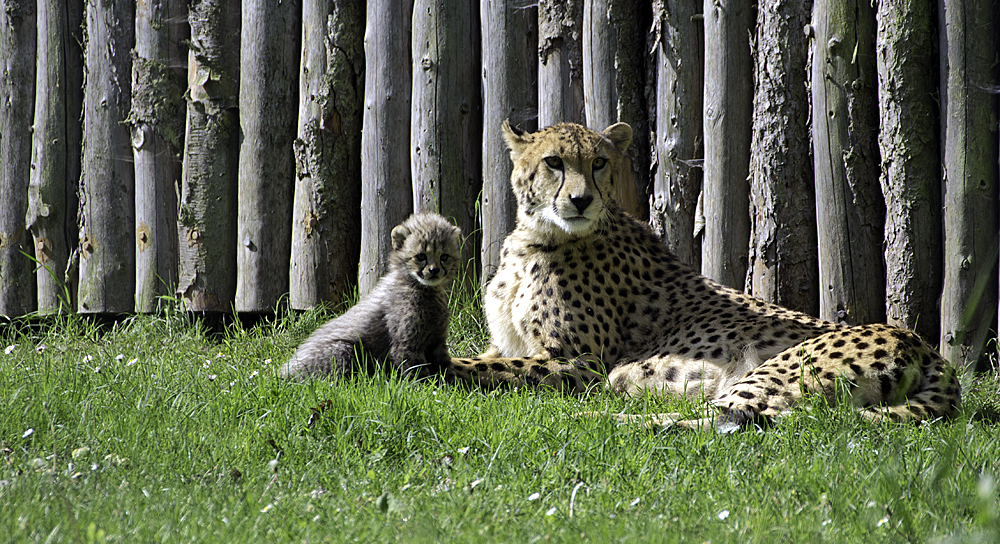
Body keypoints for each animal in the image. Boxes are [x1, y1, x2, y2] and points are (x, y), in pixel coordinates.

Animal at [446, 121, 960, 432]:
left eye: (599, 163)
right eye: (554, 162)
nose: (580, 200)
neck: (537, 236)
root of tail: (925, 346)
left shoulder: (577, 363)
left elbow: (473, 367)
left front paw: (430, 367)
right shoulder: (511, 345)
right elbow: (477, 357)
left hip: (778, 371)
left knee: (741, 424)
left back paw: (614, 420)